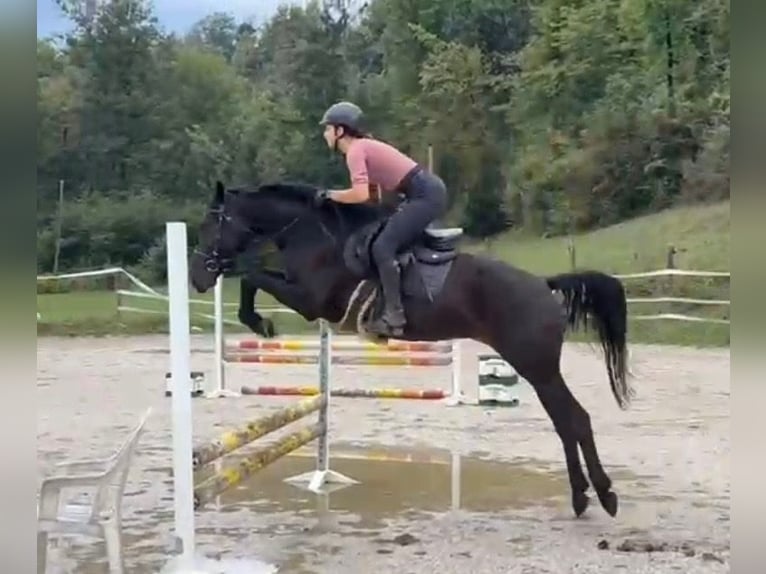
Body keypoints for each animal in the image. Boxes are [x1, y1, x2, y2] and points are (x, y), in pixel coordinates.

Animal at [192, 181, 636, 520]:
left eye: (211, 223)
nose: (197, 277)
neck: (311, 233)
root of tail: (544, 285)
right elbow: (252, 276)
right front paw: (257, 319)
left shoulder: (311, 301)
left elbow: (251, 274)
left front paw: (257, 322)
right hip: (538, 369)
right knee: (568, 422)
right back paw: (586, 497)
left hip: (537, 367)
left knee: (574, 420)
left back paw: (600, 495)